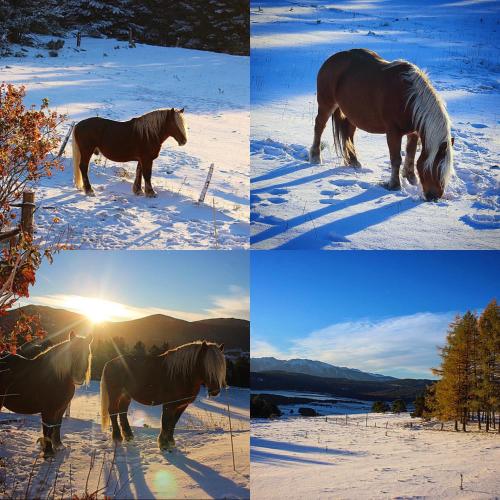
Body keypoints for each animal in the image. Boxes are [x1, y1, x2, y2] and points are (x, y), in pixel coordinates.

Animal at [308, 49, 454, 201]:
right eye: (436, 168)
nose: (434, 196)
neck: (408, 98)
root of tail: (331, 59)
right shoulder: (393, 132)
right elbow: (396, 159)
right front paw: (394, 185)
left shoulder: (413, 133)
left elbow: (411, 155)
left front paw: (411, 178)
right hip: (326, 104)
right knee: (319, 126)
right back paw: (315, 157)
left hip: (352, 115)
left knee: (348, 135)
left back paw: (353, 161)